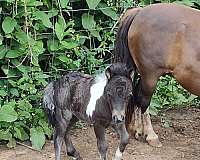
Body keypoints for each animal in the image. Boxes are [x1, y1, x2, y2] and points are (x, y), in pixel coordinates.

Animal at [113, 2, 200, 148]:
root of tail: (139, 12)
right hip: (150, 76)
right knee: (143, 100)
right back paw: (151, 136)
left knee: (136, 95)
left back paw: (137, 130)